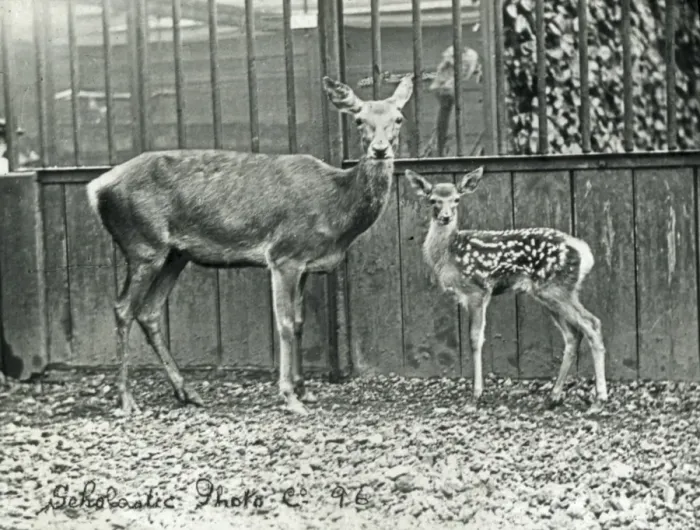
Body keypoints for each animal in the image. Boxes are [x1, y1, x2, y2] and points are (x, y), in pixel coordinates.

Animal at [86, 75, 414, 416]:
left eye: (398, 118)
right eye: (360, 119)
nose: (380, 149)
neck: (336, 208)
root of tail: (95, 188)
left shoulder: (304, 263)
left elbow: (299, 323)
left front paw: (305, 389)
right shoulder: (284, 254)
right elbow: (285, 323)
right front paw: (290, 396)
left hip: (174, 254)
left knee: (149, 311)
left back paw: (187, 391)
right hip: (142, 244)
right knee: (123, 308)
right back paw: (127, 399)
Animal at [405, 167, 608, 409]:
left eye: (456, 199)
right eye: (432, 200)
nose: (446, 217)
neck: (448, 254)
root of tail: (585, 252)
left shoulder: (477, 290)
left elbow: (475, 339)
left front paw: (475, 395)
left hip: (556, 289)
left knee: (592, 324)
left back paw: (600, 397)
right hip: (549, 293)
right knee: (572, 335)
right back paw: (554, 396)